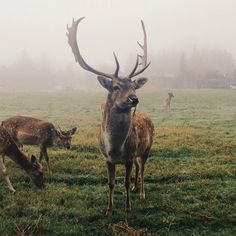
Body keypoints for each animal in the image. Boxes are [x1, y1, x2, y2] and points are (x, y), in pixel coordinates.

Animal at [67, 17, 155, 215]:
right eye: (115, 86)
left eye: (134, 86)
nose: (134, 99)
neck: (115, 148)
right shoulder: (107, 158)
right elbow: (111, 183)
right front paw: (109, 209)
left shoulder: (129, 156)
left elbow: (125, 181)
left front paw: (128, 208)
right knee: (138, 167)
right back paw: (135, 188)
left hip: (147, 148)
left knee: (143, 168)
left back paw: (142, 193)